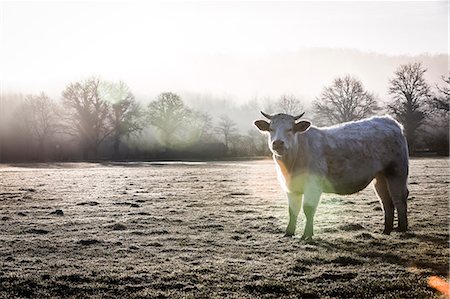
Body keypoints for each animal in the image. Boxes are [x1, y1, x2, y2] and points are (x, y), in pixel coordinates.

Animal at [255, 111, 410, 240]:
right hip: (380, 177)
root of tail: (389, 120)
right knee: (386, 202)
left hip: (397, 171)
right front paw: (288, 233)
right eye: (271, 129)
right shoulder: (291, 187)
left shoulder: (313, 184)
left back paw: (401, 229)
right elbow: (293, 210)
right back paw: (386, 230)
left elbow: (308, 209)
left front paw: (307, 235)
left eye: (290, 129)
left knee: (399, 198)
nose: (278, 143)